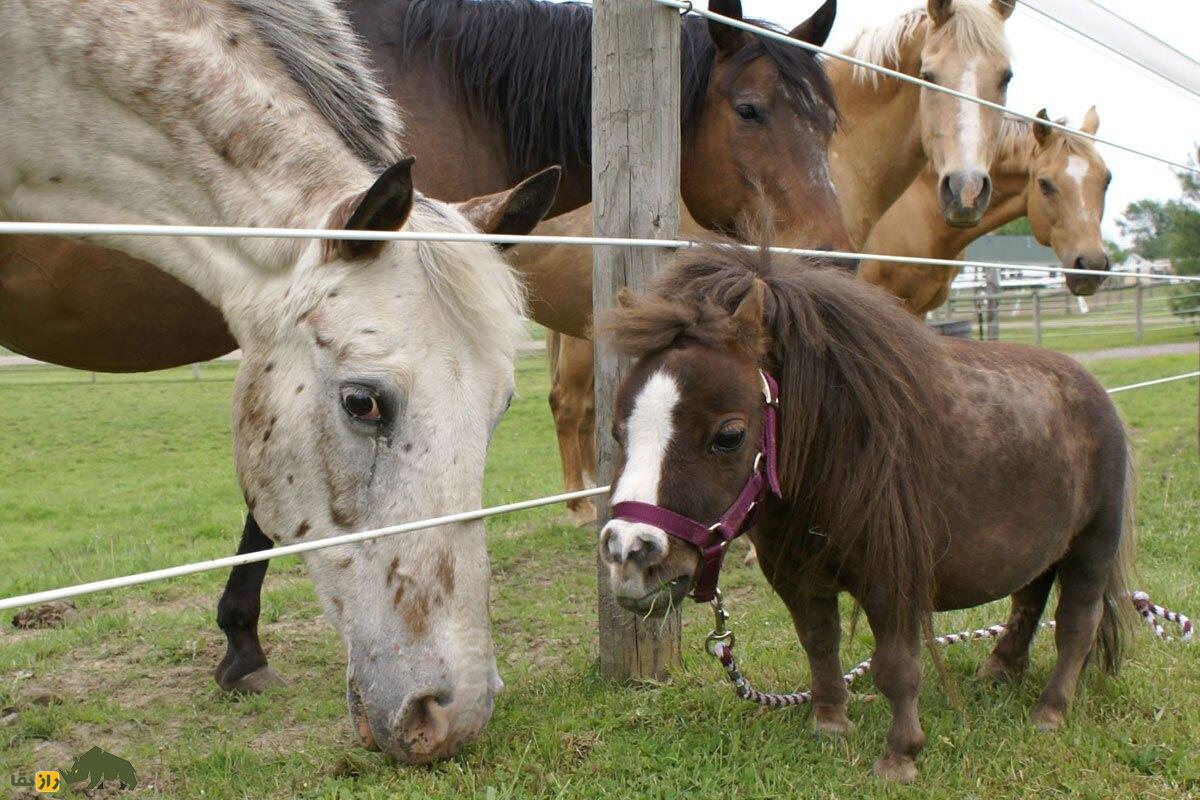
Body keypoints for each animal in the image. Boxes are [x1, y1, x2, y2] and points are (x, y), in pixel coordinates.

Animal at [597, 242, 1132, 782]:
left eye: (728, 436)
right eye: (618, 432)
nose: (630, 553)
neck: (839, 455)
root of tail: (1093, 390)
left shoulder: (892, 583)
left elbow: (896, 667)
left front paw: (900, 755)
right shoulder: (795, 576)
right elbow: (820, 643)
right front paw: (830, 723)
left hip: (1091, 546)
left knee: (1076, 625)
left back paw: (1050, 710)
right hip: (1042, 548)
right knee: (1028, 601)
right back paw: (1000, 670)